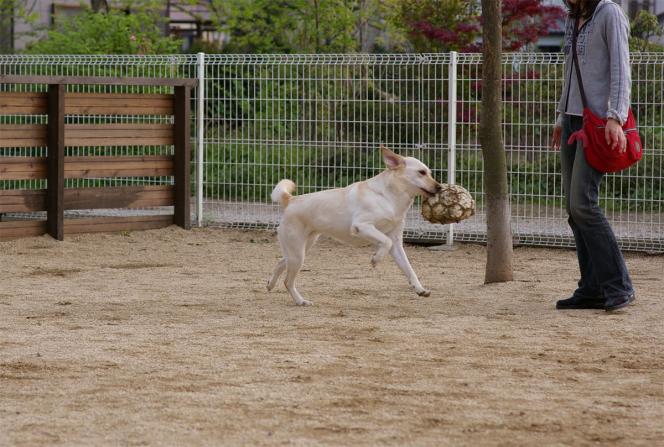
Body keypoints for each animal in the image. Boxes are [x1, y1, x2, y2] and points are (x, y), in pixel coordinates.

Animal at [264, 145, 440, 306]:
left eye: (429, 172)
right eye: (421, 172)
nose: (440, 187)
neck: (388, 197)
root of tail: (290, 200)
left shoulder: (396, 242)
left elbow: (409, 269)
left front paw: (420, 289)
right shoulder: (362, 226)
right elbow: (385, 242)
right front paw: (375, 259)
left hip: (301, 249)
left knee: (281, 263)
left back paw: (270, 285)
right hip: (298, 253)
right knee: (288, 280)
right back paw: (301, 301)